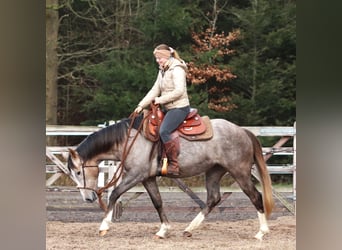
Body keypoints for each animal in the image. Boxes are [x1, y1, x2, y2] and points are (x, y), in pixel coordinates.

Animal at [67, 113, 276, 240]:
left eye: (78, 172)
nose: (88, 198)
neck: (129, 140)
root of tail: (243, 131)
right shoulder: (147, 178)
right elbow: (157, 202)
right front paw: (163, 230)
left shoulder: (136, 175)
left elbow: (115, 193)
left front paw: (104, 226)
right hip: (214, 172)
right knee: (213, 198)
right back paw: (189, 229)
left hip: (239, 172)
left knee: (255, 196)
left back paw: (261, 232)